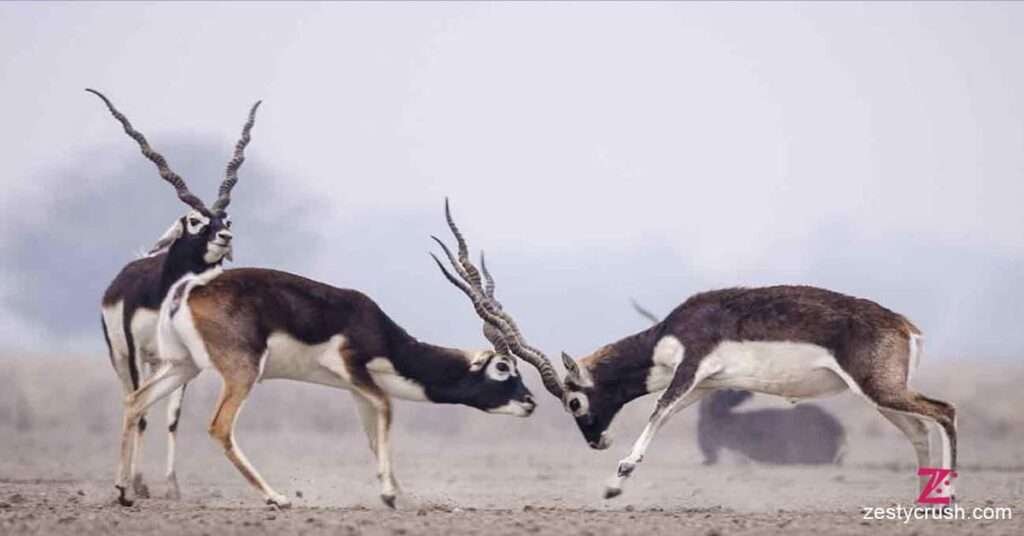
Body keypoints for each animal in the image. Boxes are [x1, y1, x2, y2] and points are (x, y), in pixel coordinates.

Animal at [90, 90, 262, 502]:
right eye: (195, 220)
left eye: (226, 220)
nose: (225, 237)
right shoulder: (136, 350)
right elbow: (140, 411)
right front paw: (129, 486)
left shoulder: (186, 354)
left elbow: (171, 417)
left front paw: (171, 486)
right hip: (124, 357)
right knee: (131, 402)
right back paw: (130, 483)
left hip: (161, 359)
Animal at [114, 199, 552, 508]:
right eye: (503, 366)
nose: (531, 401)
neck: (381, 333)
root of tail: (190, 288)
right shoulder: (352, 367)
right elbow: (388, 409)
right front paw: (389, 495)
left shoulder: (357, 388)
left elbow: (374, 433)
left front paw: (401, 496)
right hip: (242, 371)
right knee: (219, 426)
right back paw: (276, 497)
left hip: (182, 365)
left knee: (135, 401)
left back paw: (123, 491)